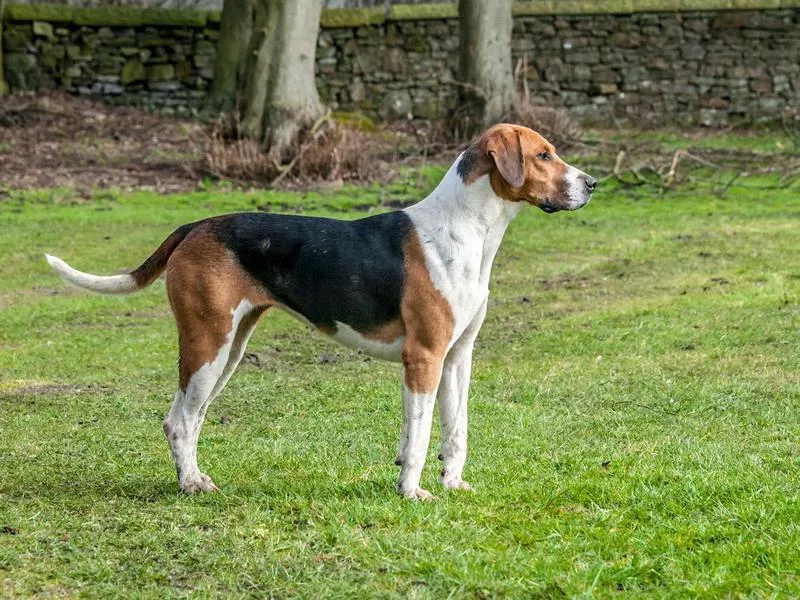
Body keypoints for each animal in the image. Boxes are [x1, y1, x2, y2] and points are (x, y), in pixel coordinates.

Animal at [43, 124, 592, 500]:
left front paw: (453, 485)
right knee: (179, 420)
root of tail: (196, 225)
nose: (592, 183)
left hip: (228, 351)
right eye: (544, 155)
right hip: (208, 344)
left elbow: (454, 432)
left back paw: (194, 477)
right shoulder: (424, 358)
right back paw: (190, 485)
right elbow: (417, 437)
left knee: (190, 417)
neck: (468, 230)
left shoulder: (458, 358)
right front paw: (412, 493)